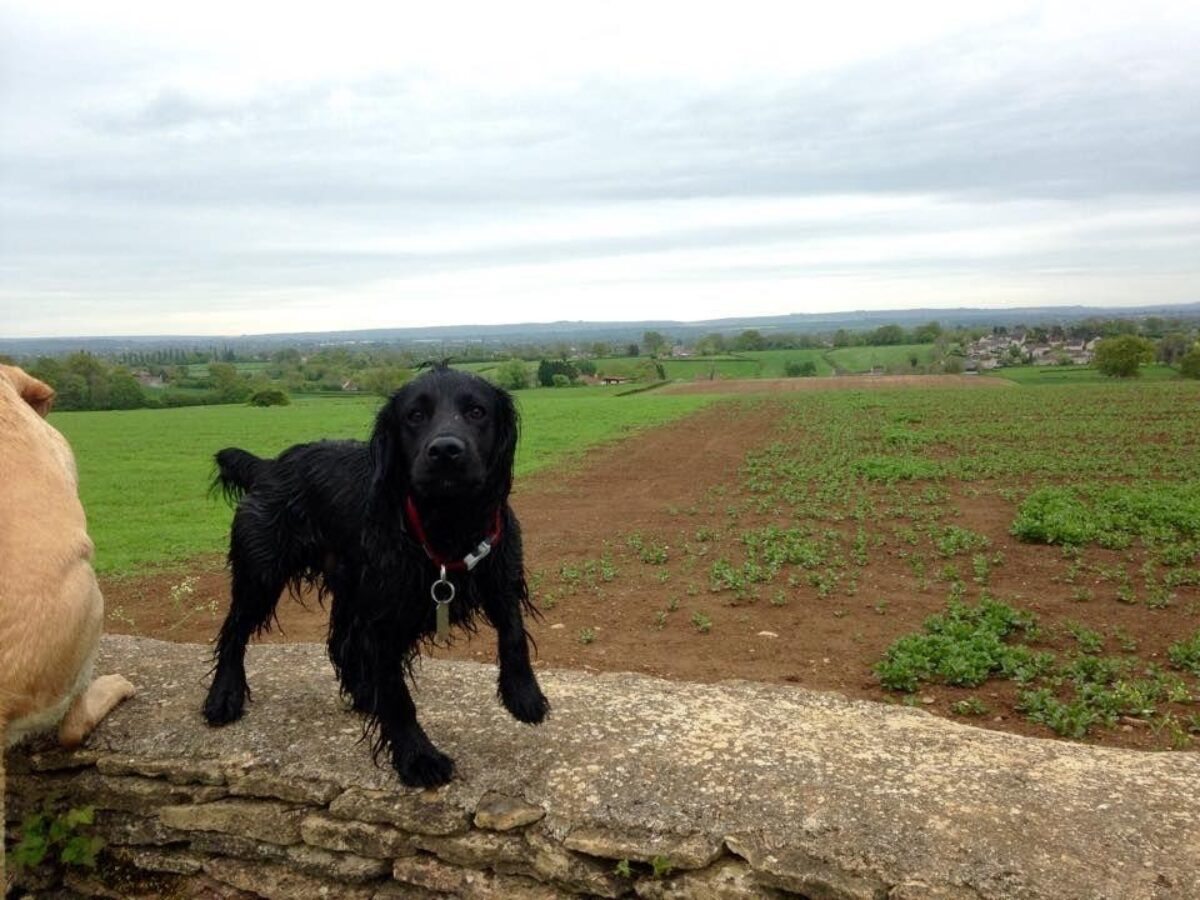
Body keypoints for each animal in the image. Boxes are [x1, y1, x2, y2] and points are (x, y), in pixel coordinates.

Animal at [201, 367, 549, 787]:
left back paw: (365, 694)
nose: (445, 451)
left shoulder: (500, 572)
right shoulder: (383, 618)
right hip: (261, 576)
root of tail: (268, 467)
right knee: (234, 633)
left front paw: (523, 693)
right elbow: (398, 696)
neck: (447, 523)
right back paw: (224, 696)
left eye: (477, 411)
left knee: (340, 643)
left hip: (349, 586)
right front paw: (417, 756)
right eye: (415, 415)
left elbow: (513, 631)